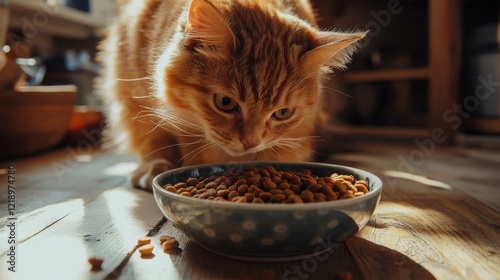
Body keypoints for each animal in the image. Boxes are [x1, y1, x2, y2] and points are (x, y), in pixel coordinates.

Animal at [97, 0, 366, 189]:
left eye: (282, 113)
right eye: (225, 103)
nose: (250, 143)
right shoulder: (137, 96)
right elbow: (153, 138)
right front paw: (157, 165)